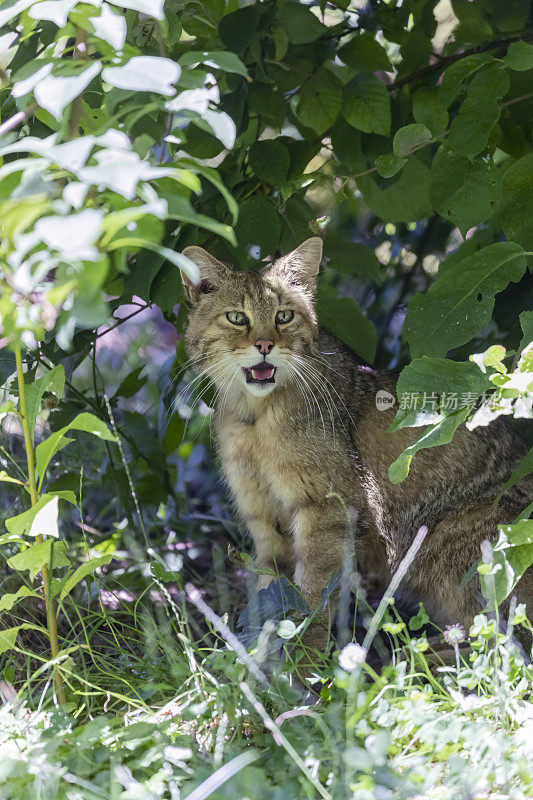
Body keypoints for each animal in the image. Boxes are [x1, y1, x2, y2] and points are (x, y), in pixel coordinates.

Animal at [179, 238, 532, 648]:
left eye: (284, 316)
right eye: (237, 318)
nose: (265, 344)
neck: (253, 417)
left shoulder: (327, 510)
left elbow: (313, 598)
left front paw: (304, 659)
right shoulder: (262, 515)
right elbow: (271, 593)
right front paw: (260, 655)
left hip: (446, 546)